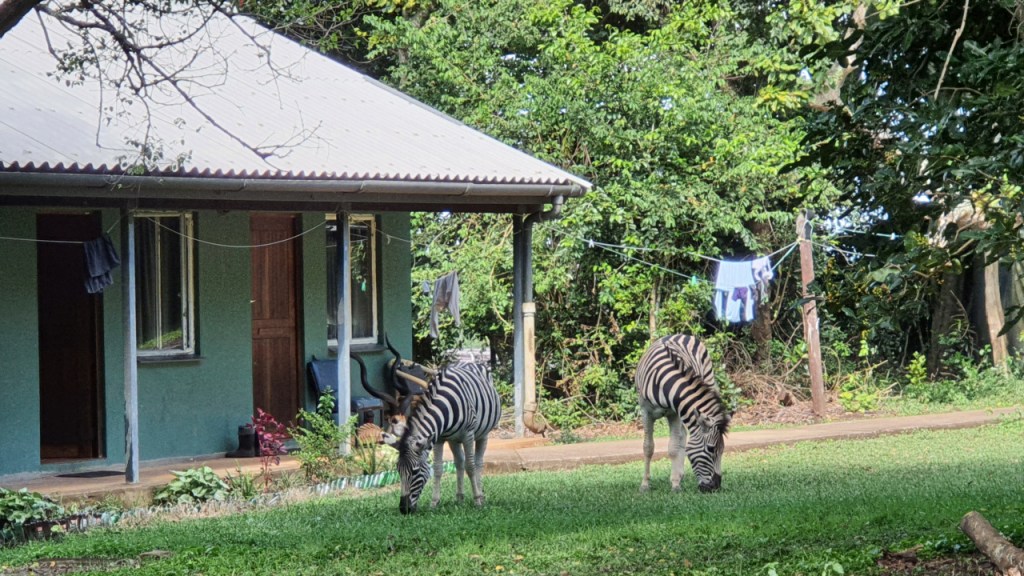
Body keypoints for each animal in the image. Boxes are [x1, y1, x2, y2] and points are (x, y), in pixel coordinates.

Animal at [392, 362, 501, 514]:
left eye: (415, 471)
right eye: (398, 471)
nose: (404, 509)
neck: (444, 405)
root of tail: (468, 362)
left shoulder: (468, 434)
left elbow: (471, 466)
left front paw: (477, 500)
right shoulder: (439, 438)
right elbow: (438, 468)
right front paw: (434, 502)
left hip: (483, 434)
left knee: (478, 462)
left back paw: (480, 495)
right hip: (454, 439)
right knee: (459, 462)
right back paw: (460, 498)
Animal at [635, 334, 730, 493]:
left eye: (723, 449)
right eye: (711, 449)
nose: (715, 487)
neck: (665, 382)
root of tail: (682, 334)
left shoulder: (675, 412)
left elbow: (674, 447)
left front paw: (675, 484)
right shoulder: (646, 412)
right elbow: (648, 447)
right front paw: (644, 484)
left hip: (707, 381)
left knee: (682, 437)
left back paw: (679, 475)